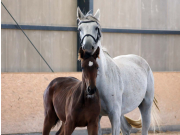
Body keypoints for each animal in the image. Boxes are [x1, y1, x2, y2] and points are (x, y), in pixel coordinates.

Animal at [76, 7, 158, 135]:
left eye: (96, 28)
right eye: (80, 29)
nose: (88, 48)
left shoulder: (114, 115)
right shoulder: (96, 117)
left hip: (146, 104)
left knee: (145, 126)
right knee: (126, 128)